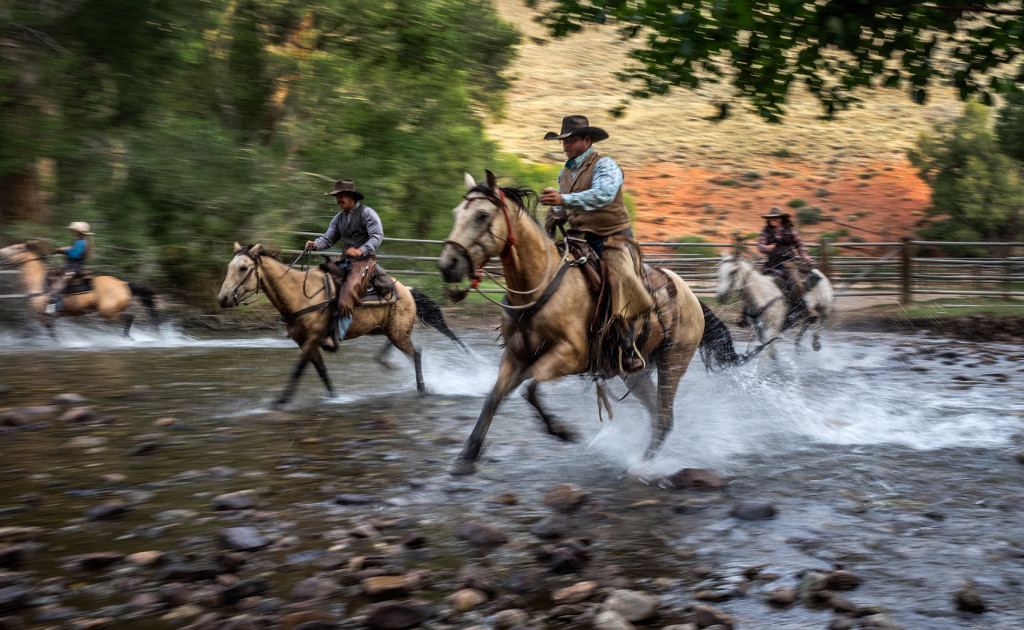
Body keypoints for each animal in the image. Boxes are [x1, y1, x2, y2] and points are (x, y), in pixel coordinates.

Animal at [0, 238, 157, 338]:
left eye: (16, 248)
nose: (1, 252)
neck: (39, 283)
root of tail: (123, 284)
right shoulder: (38, 316)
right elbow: (31, 331)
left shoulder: (44, 316)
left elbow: (51, 333)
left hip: (108, 312)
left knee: (129, 318)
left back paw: (127, 338)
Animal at [220, 241, 468, 409]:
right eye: (229, 266)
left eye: (243, 268)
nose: (223, 298)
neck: (300, 295)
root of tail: (406, 289)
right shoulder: (305, 342)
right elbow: (322, 371)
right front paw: (335, 397)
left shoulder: (312, 339)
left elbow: (297, 371)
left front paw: (280, 401)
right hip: (390, 331)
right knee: (406, 351)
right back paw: (392, 366)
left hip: (397, 333)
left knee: (416, 354)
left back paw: (422, 389)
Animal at [436, 170, 749, 475]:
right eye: (455, 213)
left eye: (482, 215)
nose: (448, 265)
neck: (541, 286)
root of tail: (692, 297)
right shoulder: (515, 356)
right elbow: (494, 397)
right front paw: (467, 455)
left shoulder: (571, 356)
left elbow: (530, 389)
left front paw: (563, 431)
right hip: (635, 371)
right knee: (655, 411)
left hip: (673, 362)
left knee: (664, 416)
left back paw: (643, 465)